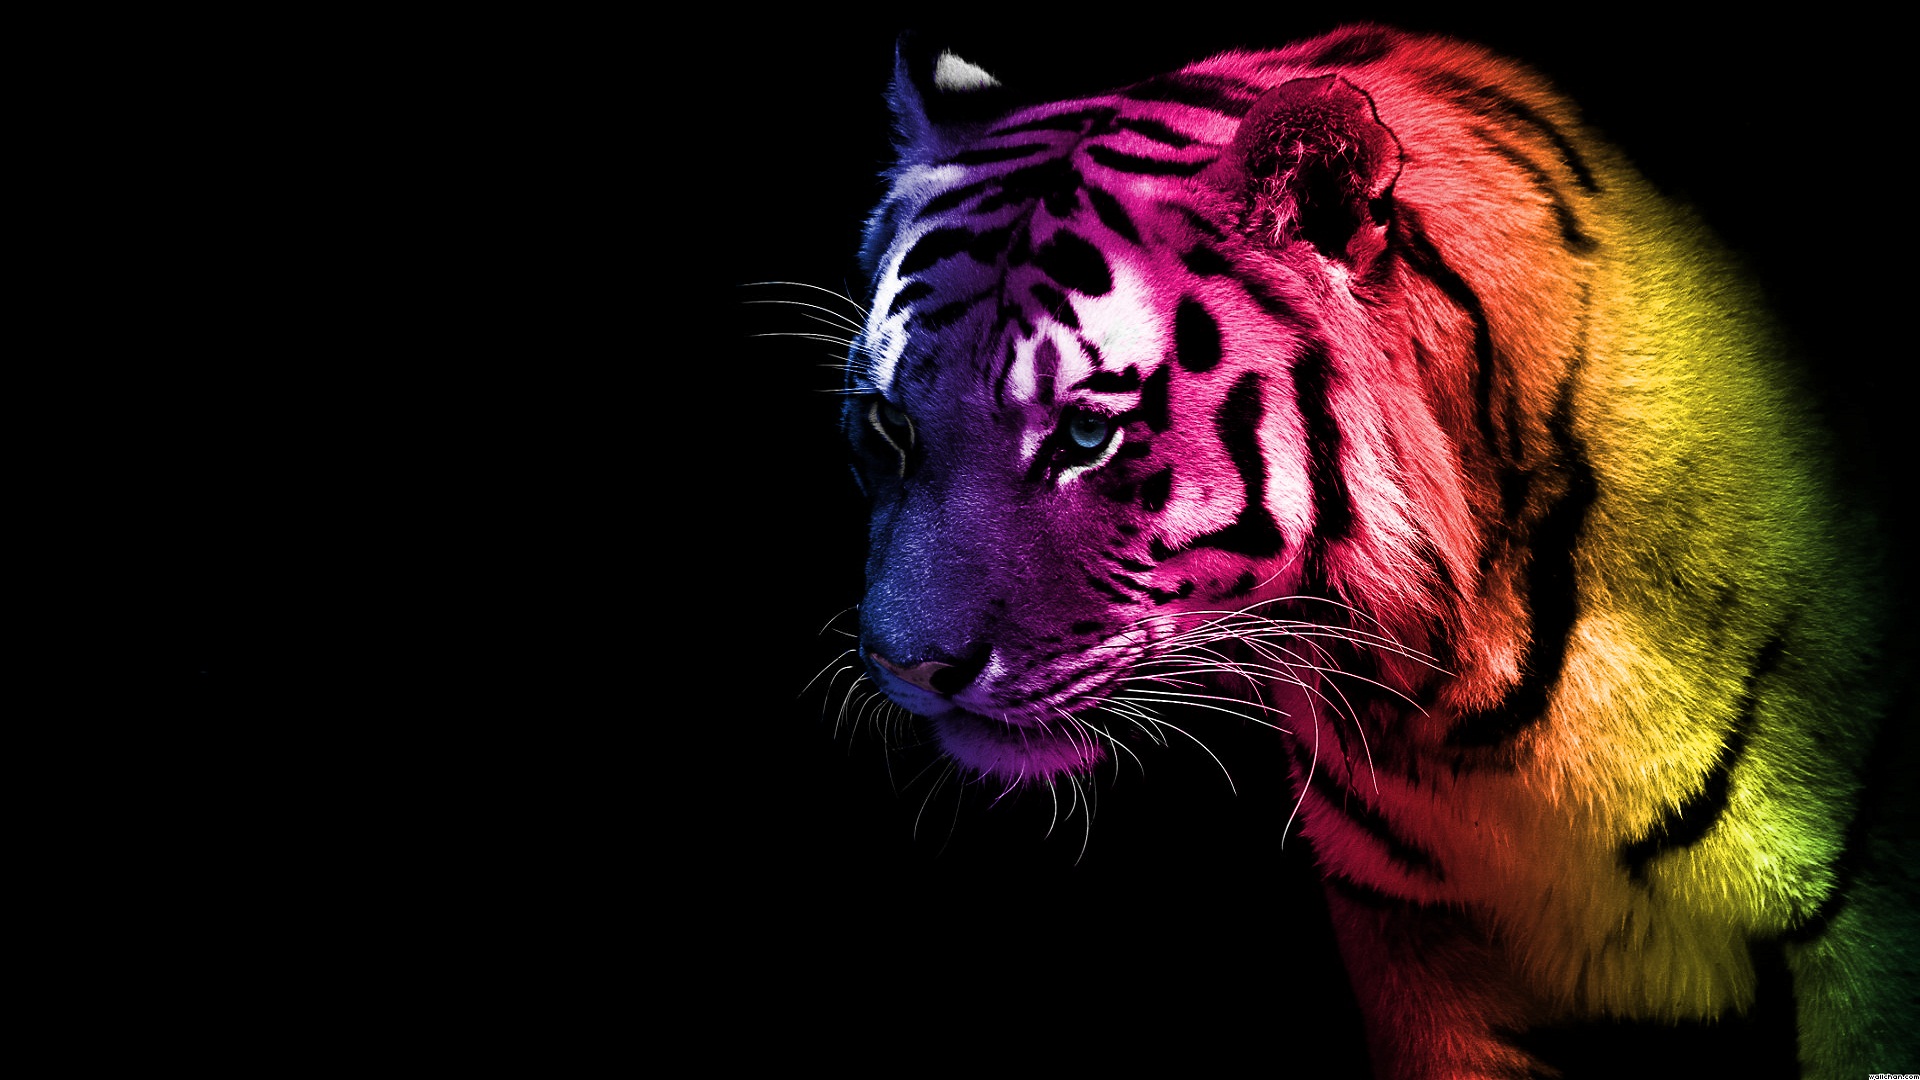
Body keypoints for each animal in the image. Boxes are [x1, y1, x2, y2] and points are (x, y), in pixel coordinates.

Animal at [824, 24, 1915, 1079]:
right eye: (889, 426)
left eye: (1086, 435)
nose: (906, 668)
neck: (1458, 706)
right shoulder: (1410, 935)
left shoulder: (1868, 917)